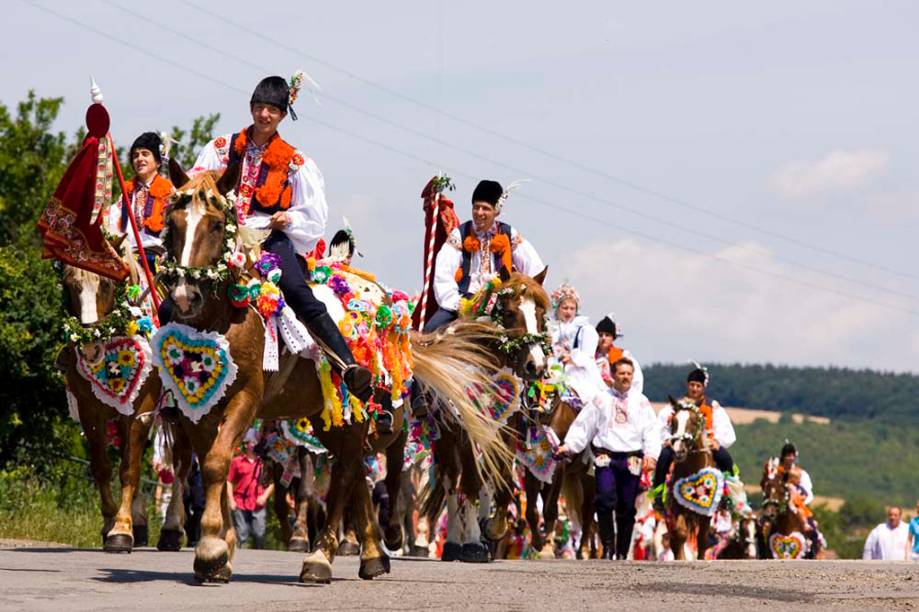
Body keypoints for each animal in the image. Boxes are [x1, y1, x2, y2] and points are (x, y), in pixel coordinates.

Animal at [154, 169, 506, 584]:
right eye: (174, 224)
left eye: (214, 224)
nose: (184, 296)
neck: (225, 316)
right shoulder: (195, 407)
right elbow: (214, 465)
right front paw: (220, 549)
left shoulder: (246, 397)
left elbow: (214, 464)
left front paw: (210, 549)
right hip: (329, 419)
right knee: (351, 470)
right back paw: (372, 554)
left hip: (358, 412)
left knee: (346, 474)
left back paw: (321, 558)